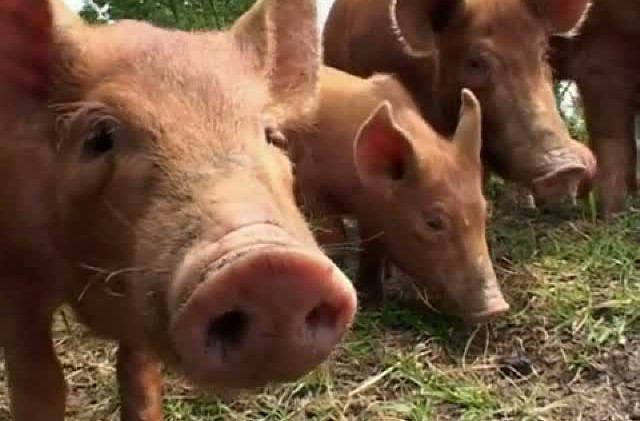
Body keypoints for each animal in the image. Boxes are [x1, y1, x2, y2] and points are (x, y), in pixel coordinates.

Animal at [0, 0, 358, 420]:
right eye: (98, 137)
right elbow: (41, 384)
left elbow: (138, 374)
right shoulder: (16, 276)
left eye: (273, 136)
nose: (272, 268)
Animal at [289, 66, 508, 323]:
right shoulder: (311, 187)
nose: (497, 308)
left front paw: (373, 299)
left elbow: (375, 248)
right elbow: (333, 237)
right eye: (432, 222)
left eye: (485, 213)